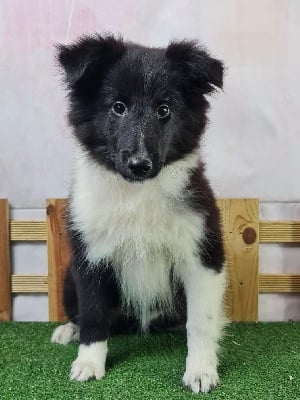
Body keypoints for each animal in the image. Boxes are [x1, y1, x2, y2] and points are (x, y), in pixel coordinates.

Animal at [51, 35, 226, 394]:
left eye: (164, 110)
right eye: (118, 107)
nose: (140, 164)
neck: (137, 194)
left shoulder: (203, 253)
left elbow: (201, 321)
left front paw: (201, 371)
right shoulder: (90, 258)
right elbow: (93, 315)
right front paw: (88, 364)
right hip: (68, 279)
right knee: (80, 313)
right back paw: (67, 331)